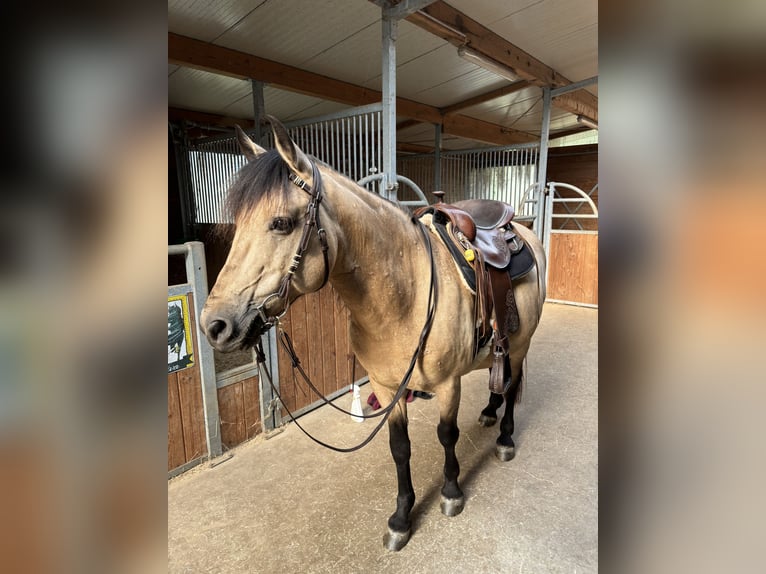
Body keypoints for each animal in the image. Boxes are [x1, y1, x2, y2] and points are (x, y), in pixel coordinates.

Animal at [198, 118, 544, 552]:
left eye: (281, 223)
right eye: (239, 223)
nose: (214, 325)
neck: (405, 296)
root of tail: (521, 231)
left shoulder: (448, 384)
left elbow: (446, 435)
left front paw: (450, 492)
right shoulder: (387, 385)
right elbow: (399, 449)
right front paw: (401, 518)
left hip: (521, 343)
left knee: (513, 386)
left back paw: (505, 439)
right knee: (501, 378)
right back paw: (488, 412)